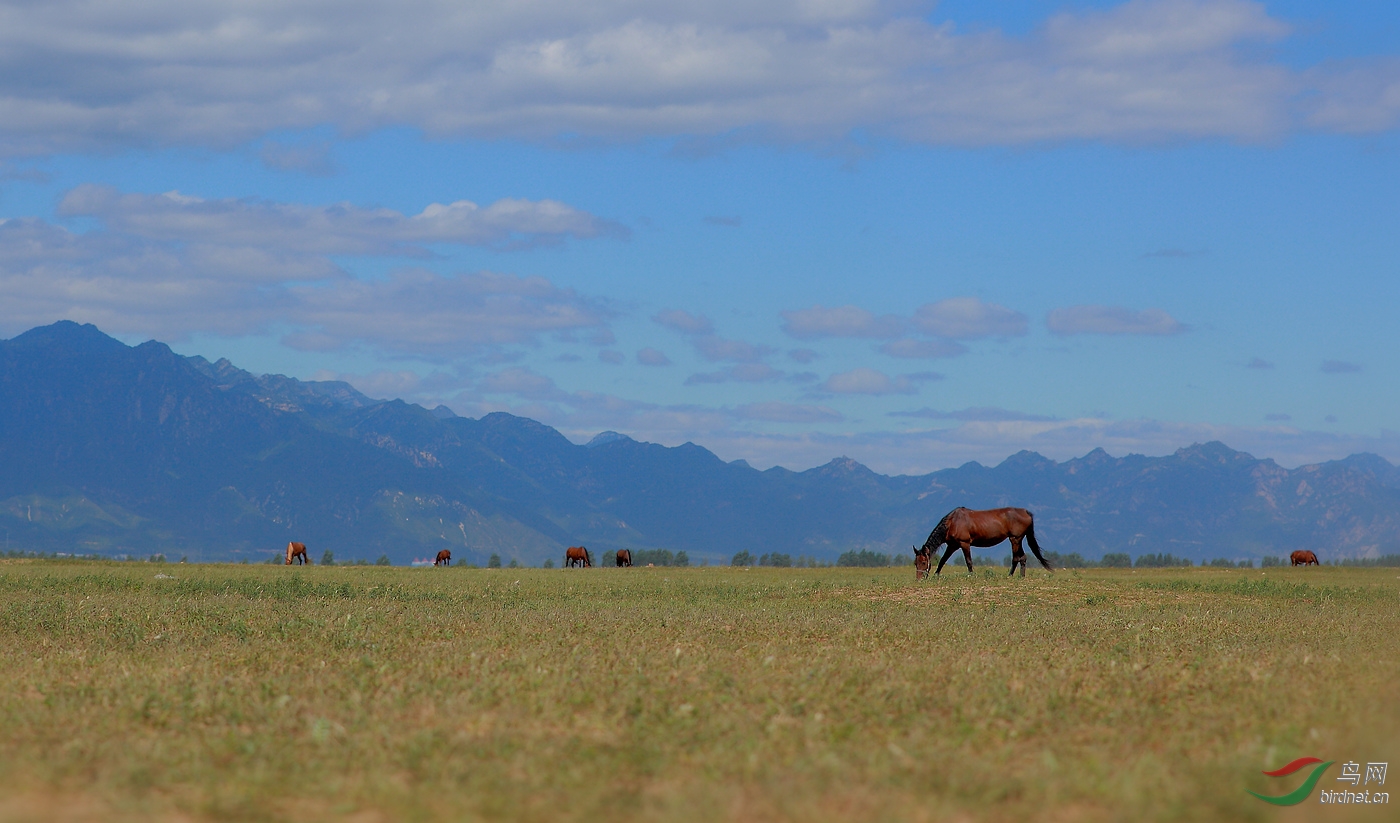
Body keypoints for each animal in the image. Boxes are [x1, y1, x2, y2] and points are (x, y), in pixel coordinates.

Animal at [912, 506, 1052, 579]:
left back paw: (1010, 575)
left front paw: (971, 575)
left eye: (923, 562)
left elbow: (968, 561)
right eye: (915, 563)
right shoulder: (952, 545)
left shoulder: (964, 543)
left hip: (1015, 539)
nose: (919, 579)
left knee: (1016, 558)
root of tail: (1026, 512)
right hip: (1018, 539)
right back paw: (1021, 577)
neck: (952, 522)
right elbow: (942, 561)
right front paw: (936, 575)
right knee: (1022, 558)